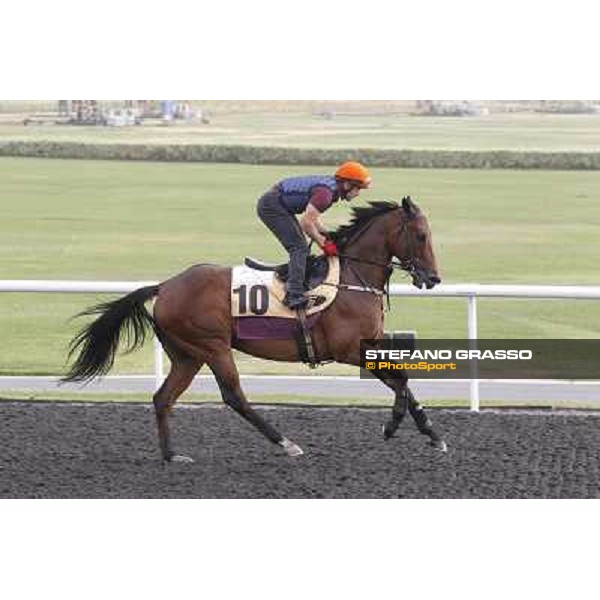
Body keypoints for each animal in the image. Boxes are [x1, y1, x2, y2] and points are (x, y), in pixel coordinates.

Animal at [64, 199, 446, 462]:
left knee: (163, 398)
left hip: (187, 355)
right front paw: (391, 425)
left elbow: (402, 380)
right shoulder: (349, 349)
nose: (433, 278)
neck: (352, 278)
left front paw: (433, 434)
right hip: (213, 347)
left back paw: (171, 455)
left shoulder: (368, 345)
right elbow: (400, 379)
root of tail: (166, 285)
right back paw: (286, 443)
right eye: (421, 235)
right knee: (234, 396)